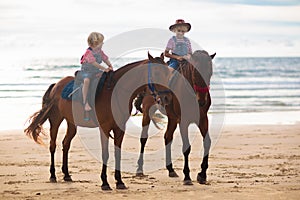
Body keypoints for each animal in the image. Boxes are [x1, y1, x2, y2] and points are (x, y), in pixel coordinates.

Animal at [23, 52, 169, 190]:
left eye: (167, 71)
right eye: (156, 72)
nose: (166, 97)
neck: (114, 93)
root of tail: (56, 85)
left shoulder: (119, 129)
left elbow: (117, 154)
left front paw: (119, 181)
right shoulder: (104, 128)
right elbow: (105, 154)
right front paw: (105, 183)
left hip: (72, 124)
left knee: (66, 144)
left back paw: (66, 174)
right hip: (55, 120)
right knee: (53, 145)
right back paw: (53, 175)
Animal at [135, 50, 214, 184]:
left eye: (210, 73)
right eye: (195, 73)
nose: (202, 101)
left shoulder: (203, 119)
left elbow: (207, 142)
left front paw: (202, 174)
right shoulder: (183, 121)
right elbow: (186, 148)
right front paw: (187, 176)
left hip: (172, 118)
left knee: (167, 137)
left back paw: (171, 169)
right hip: (147, 113)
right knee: (143, 138)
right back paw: (140, 169)